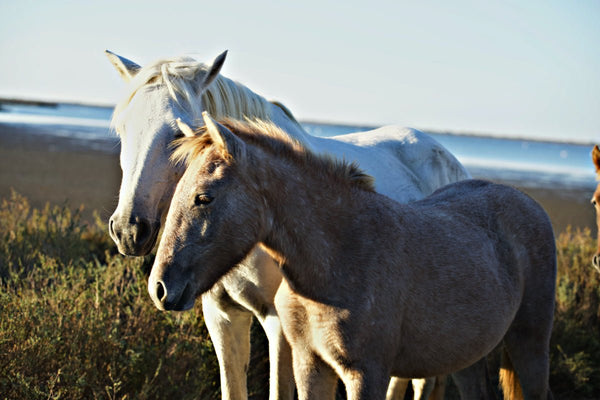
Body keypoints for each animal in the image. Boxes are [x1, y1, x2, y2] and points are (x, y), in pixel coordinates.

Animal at [152, 113, 556, 400]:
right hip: (465, 358)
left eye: (204, 197)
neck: (339, 255)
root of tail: (528, 204)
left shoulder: (366, 374)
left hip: (530, 345)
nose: (160, 287)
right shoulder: (310, 365)